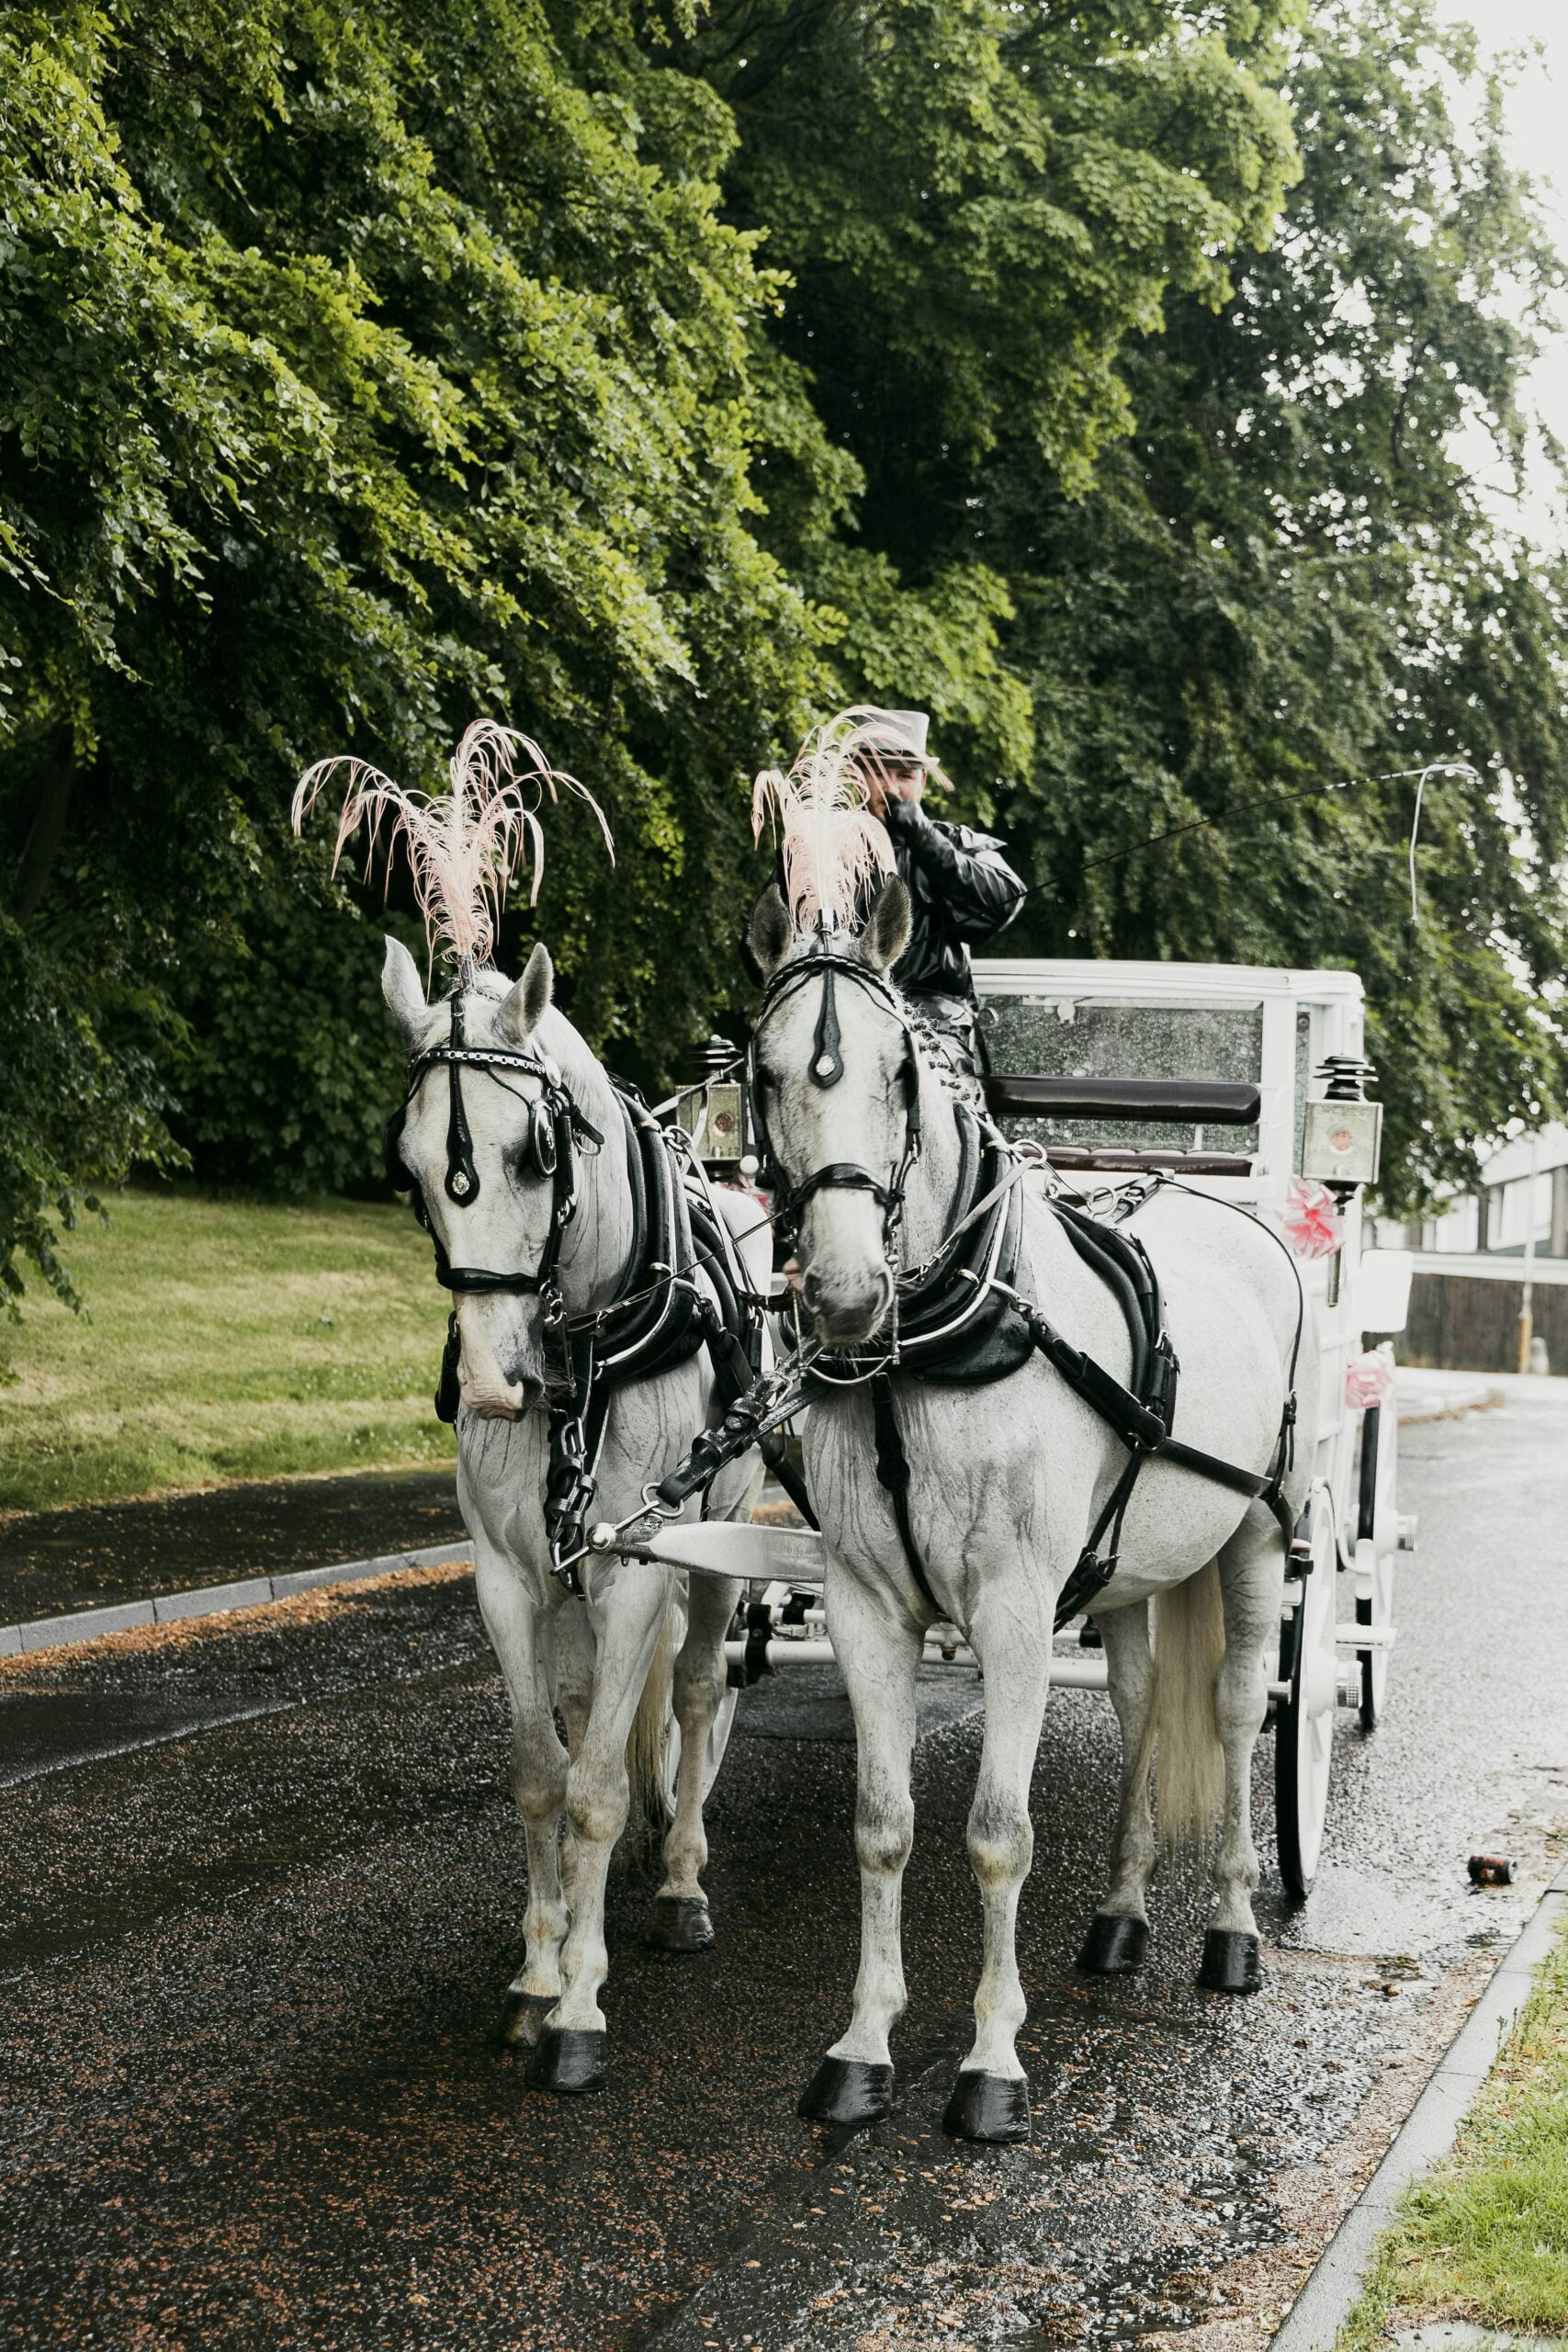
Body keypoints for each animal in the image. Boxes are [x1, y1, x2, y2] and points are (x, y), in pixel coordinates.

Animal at [380, 933, 766, 2092]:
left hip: (721, 1536)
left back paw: (680, 1879)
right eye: (409, 1167)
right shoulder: (508, 1576)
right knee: (608, 1697)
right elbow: (544, 1774)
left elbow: (597, 1786)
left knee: (697, 1689)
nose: (493, 1384)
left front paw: (583, 2006)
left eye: (534, 1154)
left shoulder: (639, 1564)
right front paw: (538, 1974)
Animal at [745, 873, 1317, 2143]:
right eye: (761, 1070)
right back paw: (1121, 1914)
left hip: (1260, 1533)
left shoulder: (1011, 1609)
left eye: (900, 1071)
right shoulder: (865, 1603)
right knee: (1147, 1705)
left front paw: (992, 2061)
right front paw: (862, 2046)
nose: (848, 1293)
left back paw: (1232, 1930)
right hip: (1133, 1568)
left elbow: (997, 1836)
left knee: (1235, 1706)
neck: (925, 1352)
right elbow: (883, 1822)